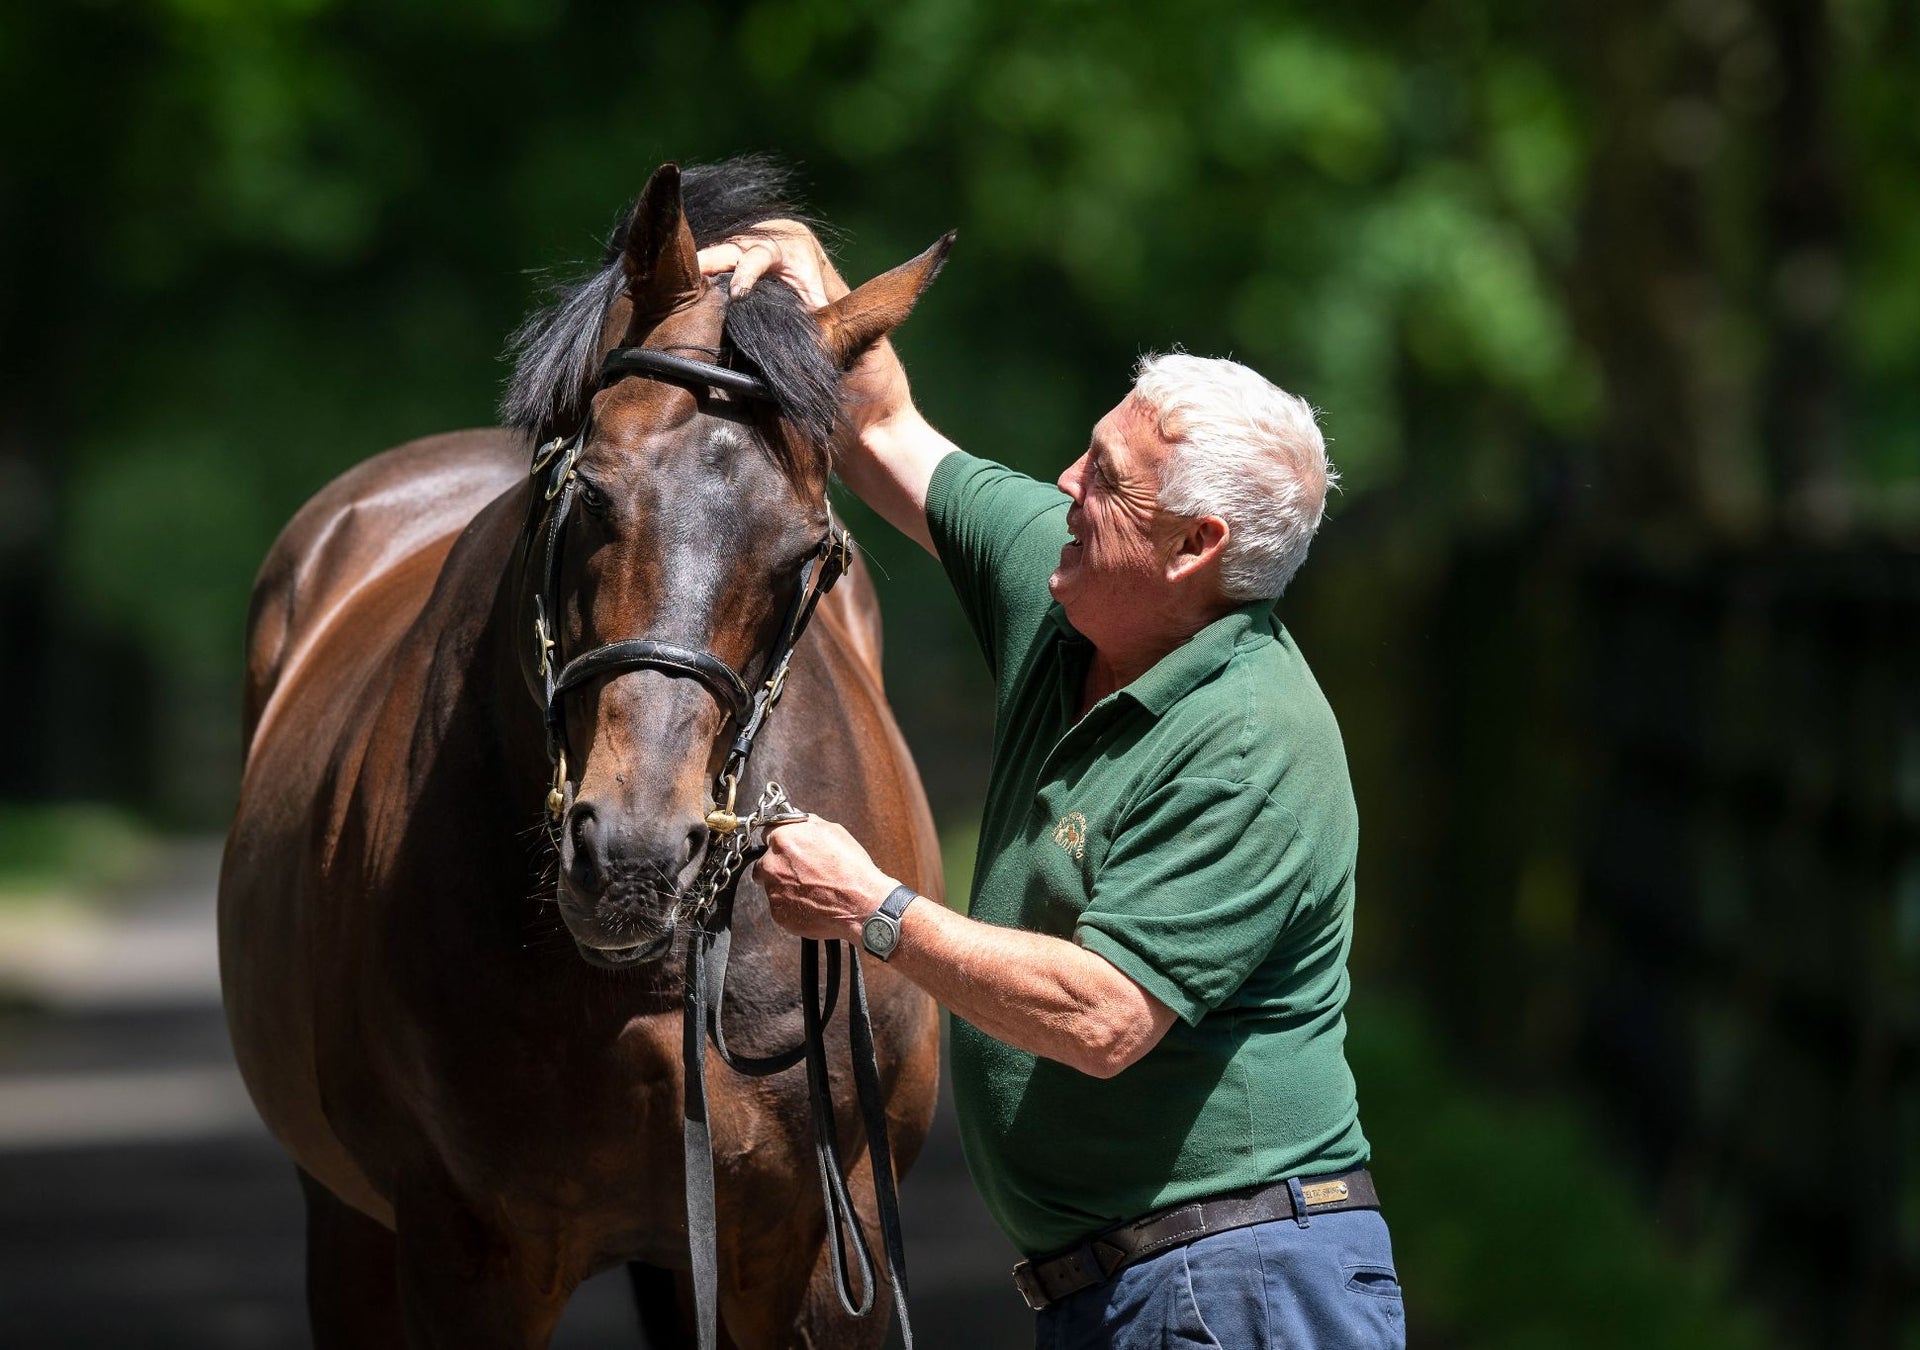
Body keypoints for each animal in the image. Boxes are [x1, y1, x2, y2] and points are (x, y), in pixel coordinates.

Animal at [218, 158, 949, 1349]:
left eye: (808, 552)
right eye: (591, 492)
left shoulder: (817, 1252)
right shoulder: (465, 1258)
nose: (636, 859)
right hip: (349, 1228)